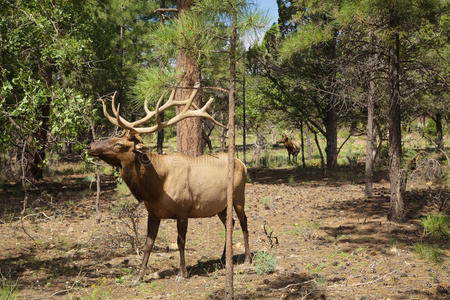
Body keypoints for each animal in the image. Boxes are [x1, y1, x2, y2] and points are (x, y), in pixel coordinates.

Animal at [86, 84, 251, 284]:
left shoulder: (183, 209)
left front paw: (182, 273)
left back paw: (247, 259)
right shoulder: (153, 213)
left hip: (239, 196)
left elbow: (181, 241)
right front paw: (139, 276)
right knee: (230, 223)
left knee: (243, 221)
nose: (90, 145)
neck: (155, 187)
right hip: (221, 206)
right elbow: (148, 243)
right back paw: (222, 257)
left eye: (118, 144)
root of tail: (243, 163)